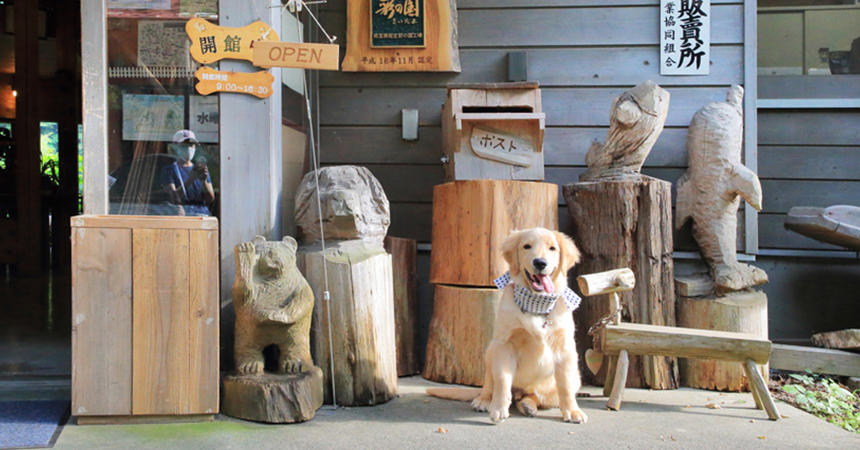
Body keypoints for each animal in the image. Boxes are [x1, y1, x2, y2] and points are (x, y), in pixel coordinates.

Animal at [426, 230, 588, 424]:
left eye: (552, 248)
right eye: (527, 246)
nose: (540, 263)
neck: (536, 303)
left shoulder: (565, 348)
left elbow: (565, 384)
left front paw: (573, 411)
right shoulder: (505, 344)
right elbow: (502, 379)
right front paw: (498, 408)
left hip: (570, 380)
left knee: (534, 396)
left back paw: (528, 405)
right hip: (490, 351)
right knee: (490, 384)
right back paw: (484, 401)